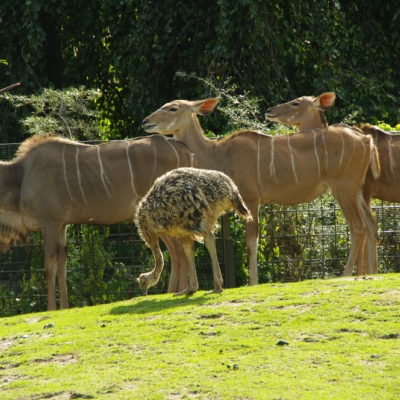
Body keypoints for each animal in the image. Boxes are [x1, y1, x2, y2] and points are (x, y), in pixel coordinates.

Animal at [0, 134, 196, 310]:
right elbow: (62, 266)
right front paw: (64, 308)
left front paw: (51, 309)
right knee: (177, 252)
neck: (21, 177)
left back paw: (179, 291)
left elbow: (49, 266)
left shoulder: (50, 223)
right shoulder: (62, 225)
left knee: (180, 251)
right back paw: (173, 292)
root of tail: (184, 149)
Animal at [142, 98, 380, 283]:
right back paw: (371, 273)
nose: (146, 122)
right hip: (358, 191)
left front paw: (252, 282)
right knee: (370, 224)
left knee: (357, 227)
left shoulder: (251, 200)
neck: (220, 152)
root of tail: (366, 139)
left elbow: (251, 244)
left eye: (173, 108)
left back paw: (346, 274)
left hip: (343, 189)